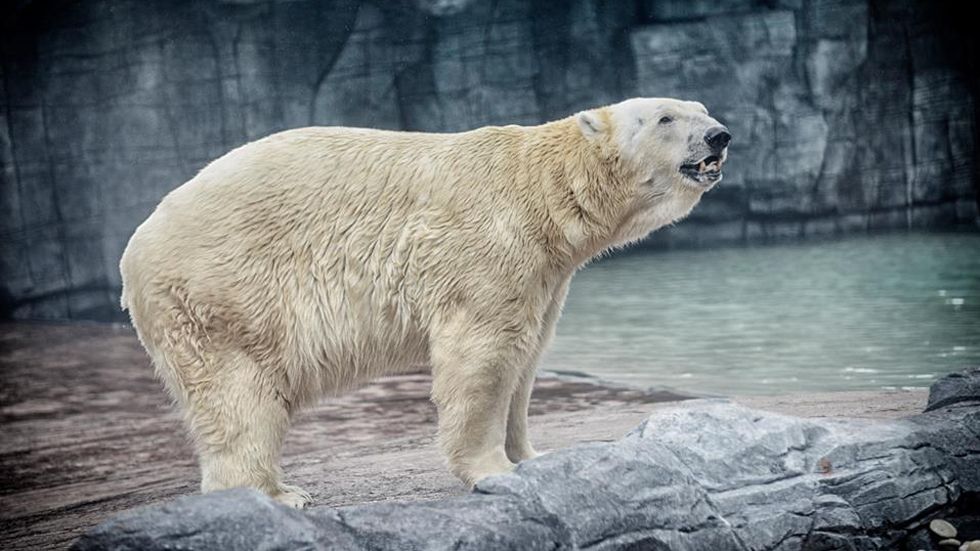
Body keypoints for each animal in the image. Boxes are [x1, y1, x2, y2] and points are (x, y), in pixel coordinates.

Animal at [119, 97, 730, 508]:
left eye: (700, 108)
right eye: (666, 118)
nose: (720, 136)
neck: (542, 189)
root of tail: (135, 249)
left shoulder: (545, 274)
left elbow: (527, 357)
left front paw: (535, 458)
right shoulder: (486, 245)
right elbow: (482, 356)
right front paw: (494, 470)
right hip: (225, 296)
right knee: (239, 397)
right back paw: (274, 495)